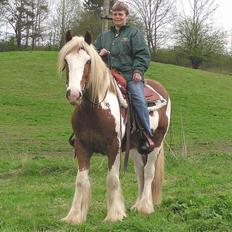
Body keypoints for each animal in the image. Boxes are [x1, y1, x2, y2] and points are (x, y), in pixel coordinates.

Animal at [57, 31, 171, 225]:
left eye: (88, 61)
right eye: (66, 60)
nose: (73, 94)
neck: (95, 109)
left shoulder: (114, 147)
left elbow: (112, 179)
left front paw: (115, 214)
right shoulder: (82, 147)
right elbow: (81, 180)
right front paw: (75, 216)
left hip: (156, 142)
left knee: (149, 172)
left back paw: (145, 206)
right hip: (135, 147)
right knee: (140, 171)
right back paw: (137, 205)